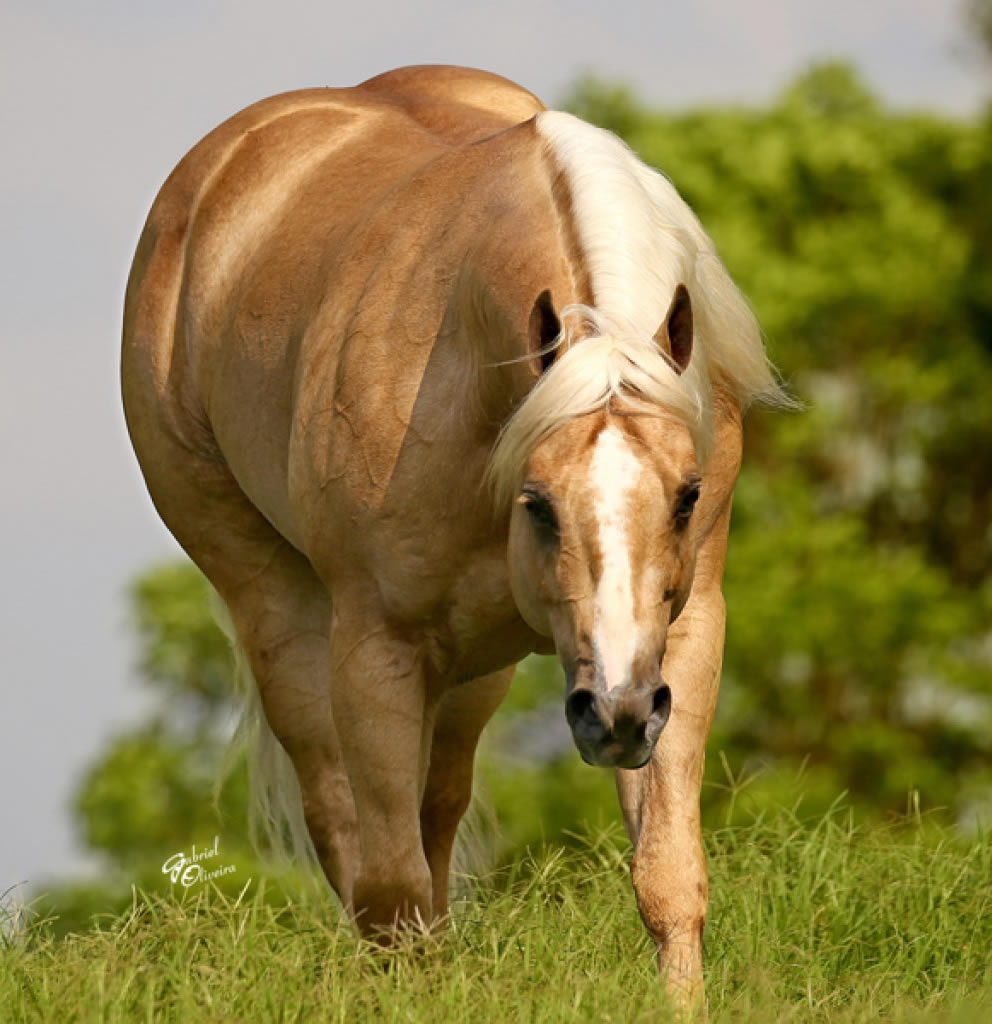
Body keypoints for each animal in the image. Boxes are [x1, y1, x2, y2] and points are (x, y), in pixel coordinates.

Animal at [121, 59, 790, 1003]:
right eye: (538, 501)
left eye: (689, 495)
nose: (614, 714)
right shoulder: (379, 648)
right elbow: (389, 889)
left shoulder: (681, 639)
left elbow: (668, 873)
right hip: (277, 613)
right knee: (347, 824)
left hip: (481, 669)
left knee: (434, 813)